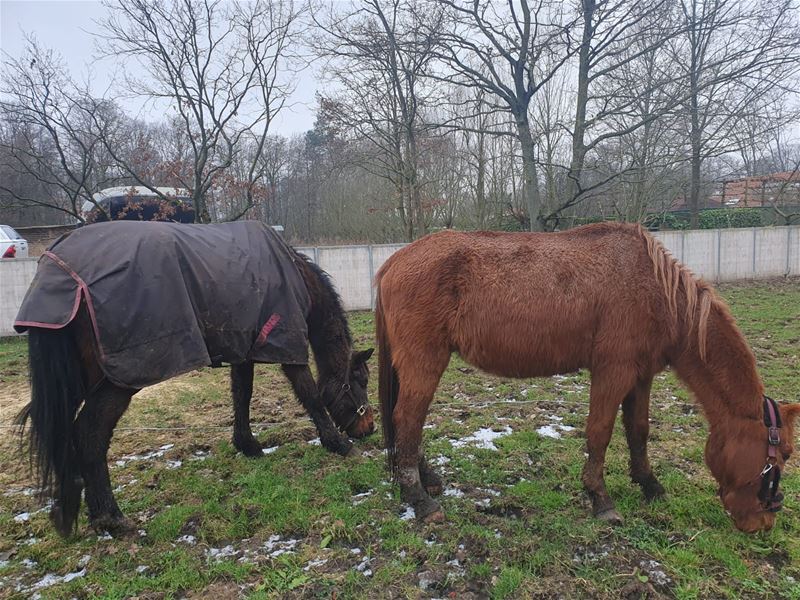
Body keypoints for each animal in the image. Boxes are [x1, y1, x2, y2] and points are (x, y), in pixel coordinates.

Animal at [15, 221, 374, 538]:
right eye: (360, 381)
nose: (369, 429)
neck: (294, 275)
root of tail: (58, 268)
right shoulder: (287, 344)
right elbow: (309, 395)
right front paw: (338, 445)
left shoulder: (243, 349)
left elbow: (241, 395)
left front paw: (248, 445)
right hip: (119, 379)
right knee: (90, 433)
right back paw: (111, 518)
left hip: (77, 380)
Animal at [375, 222, 799, 533]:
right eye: (782, 454)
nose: (764, 521)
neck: (656, 291)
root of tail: (394, 261)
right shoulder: (613, 370)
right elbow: (600, 432)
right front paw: (601, 498)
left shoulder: (641, 376)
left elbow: (638, 431)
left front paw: (649, 484)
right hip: (424, 361)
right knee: (407, 419)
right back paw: (421, 500)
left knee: (407, 422)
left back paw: (425, 479)